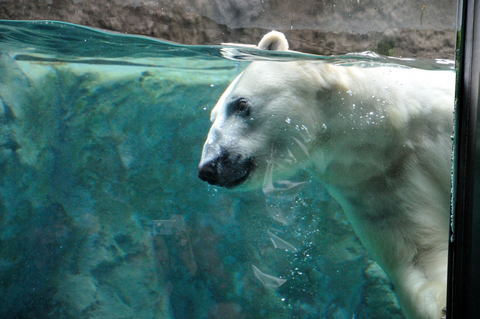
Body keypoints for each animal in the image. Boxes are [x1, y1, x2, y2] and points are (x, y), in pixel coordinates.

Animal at [198, 30, 454, 319]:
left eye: (241, 105)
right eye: (213, 117)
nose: (208, 167)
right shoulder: (380, 179)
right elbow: (419, 252)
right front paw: (441, 302)